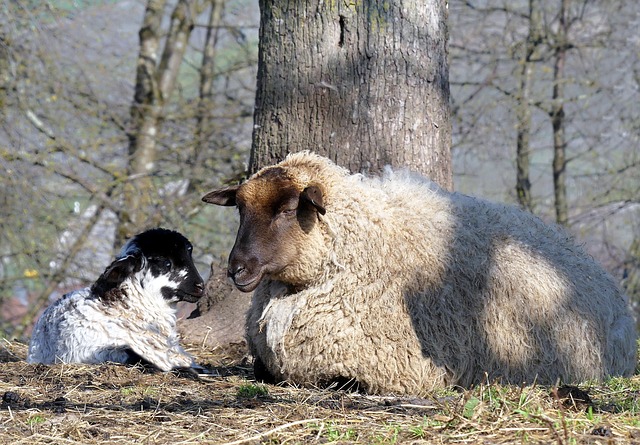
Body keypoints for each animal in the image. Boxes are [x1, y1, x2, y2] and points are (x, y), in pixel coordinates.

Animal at [202, 151, 636, 394]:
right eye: (240, 208)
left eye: (290, 209)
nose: (237, 268)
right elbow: (263, 369)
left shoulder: (402, 369)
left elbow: (338, 380)